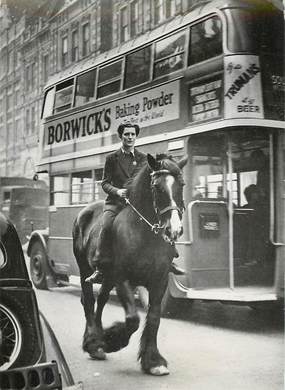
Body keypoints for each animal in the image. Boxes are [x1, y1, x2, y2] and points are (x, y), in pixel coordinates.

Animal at [71, 152, 186, 374]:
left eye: (182, 184)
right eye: (157, 186)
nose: (174, 230)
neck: (145, 234)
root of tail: (84, 211)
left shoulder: (159, 281)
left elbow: (154, 317)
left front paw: (153, 361)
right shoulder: (122, 278)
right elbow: (133, 319)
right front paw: (112, 340)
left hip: (107, 277)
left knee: (101, 300)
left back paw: (97, 340)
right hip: (85, 270)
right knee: (89, 301)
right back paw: (94, 343)